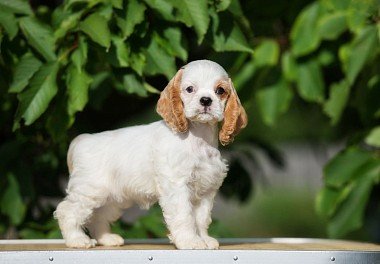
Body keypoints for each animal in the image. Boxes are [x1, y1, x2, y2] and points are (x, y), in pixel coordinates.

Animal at [55, 59, 248, 250]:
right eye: (190, 89)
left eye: (220, 90)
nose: (206, 100)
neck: (198, 138)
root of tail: (83, 140)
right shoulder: (177, 185)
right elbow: (185, 216)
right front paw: (190, 241)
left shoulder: (206, 188)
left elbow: (201, 219)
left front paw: (205, 239)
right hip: (90, 191)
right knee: (67, 211)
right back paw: (77, 240)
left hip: (112, 197)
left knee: (98, 216)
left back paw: (107, 238)